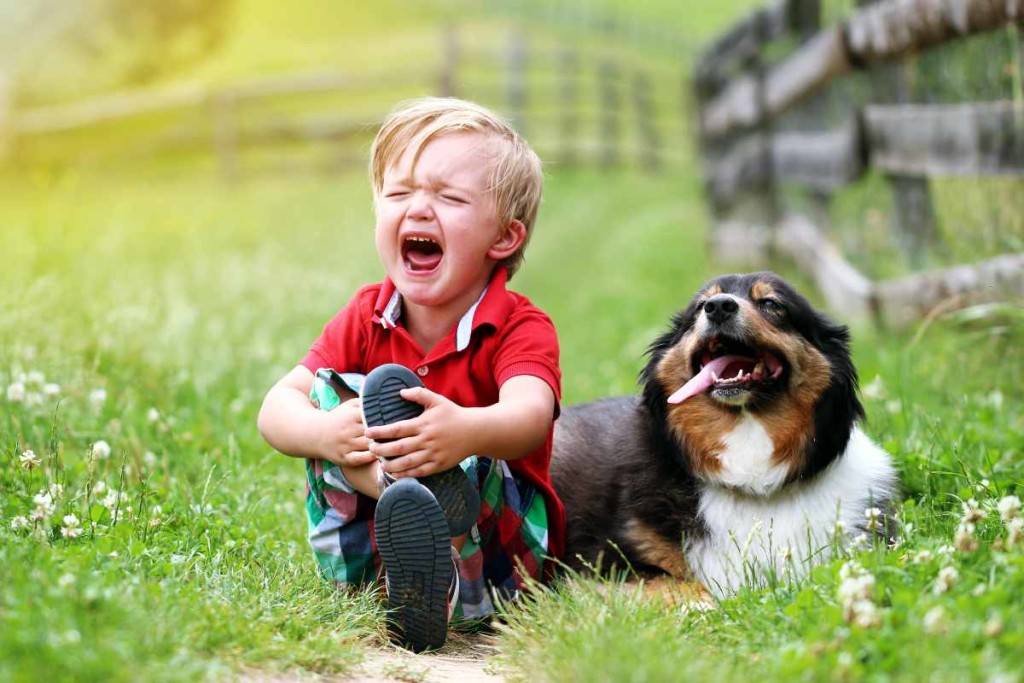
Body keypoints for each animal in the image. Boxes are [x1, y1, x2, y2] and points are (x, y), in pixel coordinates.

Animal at [552, 272, 897, 598]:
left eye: (771, 304)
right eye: (699, 307)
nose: (718, 307)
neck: (751, 478)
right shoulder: (602, 566)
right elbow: (690, 589)